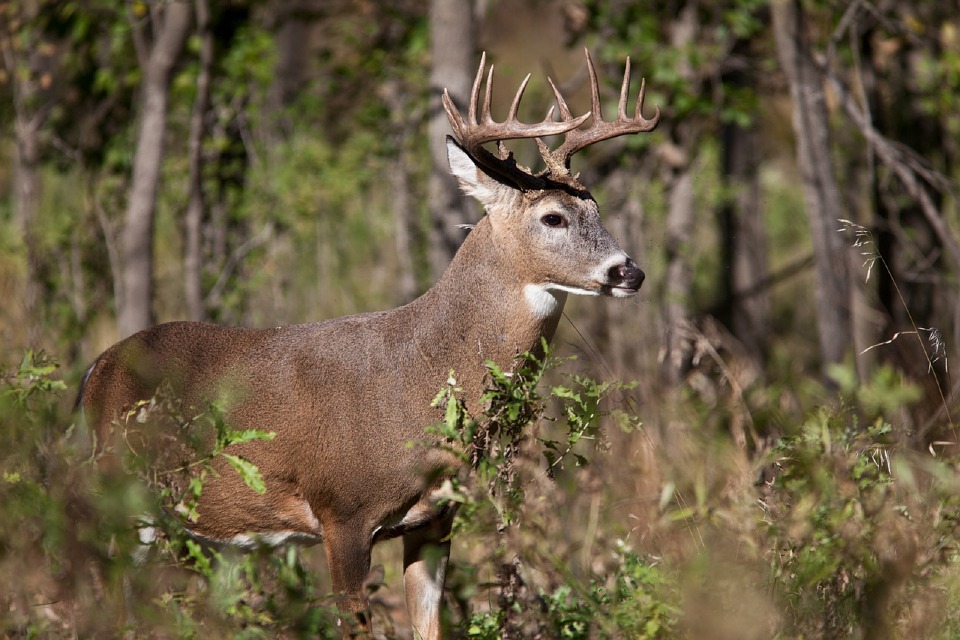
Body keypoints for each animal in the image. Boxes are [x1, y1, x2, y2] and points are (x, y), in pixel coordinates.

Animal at [77, 51, 660, 640]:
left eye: (597, 209)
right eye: (553, 217)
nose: (630, 272)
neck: (419, 377)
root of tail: (95, 370)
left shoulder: (434, 521)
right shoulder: (343, 512)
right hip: (120, 492)